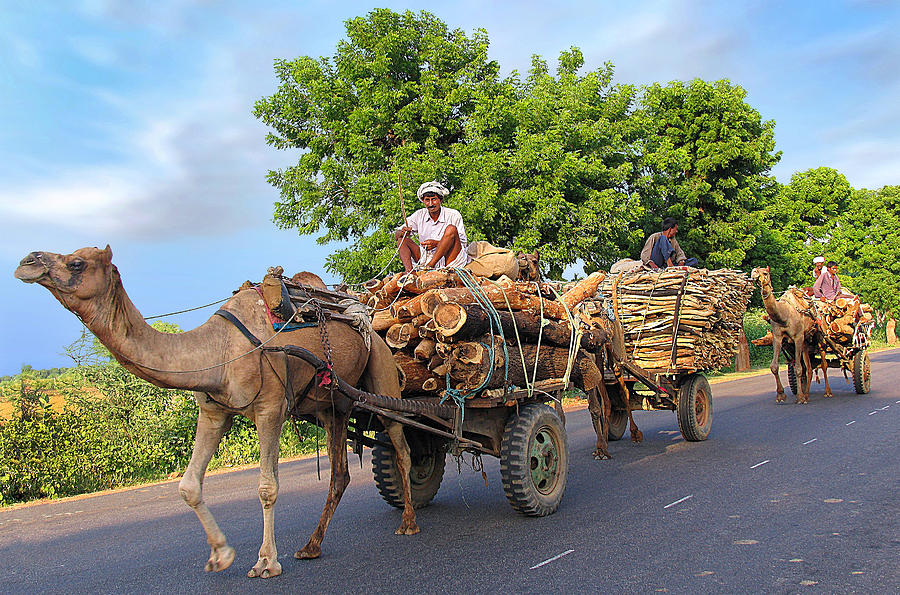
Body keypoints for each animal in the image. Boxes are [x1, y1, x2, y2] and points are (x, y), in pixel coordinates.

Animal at [16, 247, 418, 576]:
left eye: (77, 262)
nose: (26, 262)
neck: (219, 349)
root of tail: (368, 314)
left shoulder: (270, 408)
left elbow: (267, 486)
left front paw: (266, 562)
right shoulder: (212, 412)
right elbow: (188, 485)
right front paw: (221, 555)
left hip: (381, 371)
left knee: (401, 446)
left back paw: (408, 522)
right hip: (333, 406)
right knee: (340, 473)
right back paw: (310, 546)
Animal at [748, 268, 832, 406]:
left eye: (765, 273)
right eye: (754, 270)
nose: (754, 273)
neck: (784, 315)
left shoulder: (797, 337)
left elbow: (798, 368)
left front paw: (800, 398)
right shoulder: (778, 337)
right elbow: (774, 366)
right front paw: (781, 395)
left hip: (819, 336)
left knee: (823, 364)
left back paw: (827, 392)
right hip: (806, 342)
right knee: (808, 368)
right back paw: (807, 395)